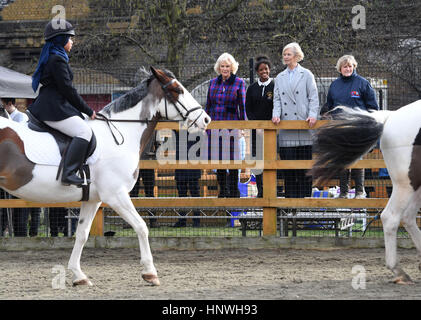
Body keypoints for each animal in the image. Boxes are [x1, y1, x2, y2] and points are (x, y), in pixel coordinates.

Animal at [0, 67, 210, 284]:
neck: (121, 133)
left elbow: (82, 234)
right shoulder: (116, 195)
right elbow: (141, 226)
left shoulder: (93, 199)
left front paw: (78, 275)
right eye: (177, 90)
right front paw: (150, 273)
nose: (205, 119)